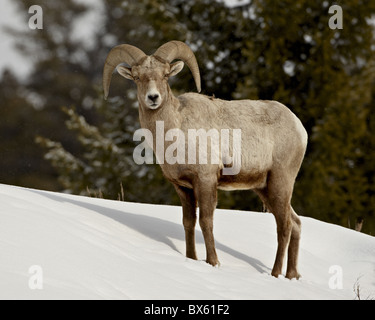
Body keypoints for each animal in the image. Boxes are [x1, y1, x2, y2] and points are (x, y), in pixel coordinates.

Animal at [103, 40, 308, 280]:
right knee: (296, 223)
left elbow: (206, 221)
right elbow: (188, 223)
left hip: (280, 183)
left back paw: (275, 274)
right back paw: (292, 275)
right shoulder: (183, 188)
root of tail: (299, 128)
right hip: (264, 188)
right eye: (136, 77)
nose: (153, 98)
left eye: (165, 75)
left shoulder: (206, 180)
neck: (175, 130)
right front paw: (191, 258)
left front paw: (213, 262)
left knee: (285, 226)